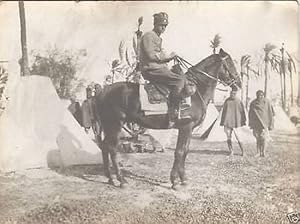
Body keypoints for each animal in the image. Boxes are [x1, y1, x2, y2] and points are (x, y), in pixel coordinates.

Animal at [96, 48, 241, 189]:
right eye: (230, 63)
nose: (238, 84)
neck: (195, 90)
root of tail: (103, 91)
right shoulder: (185, 127)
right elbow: (180, 152)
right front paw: (175, 181)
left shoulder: (189, 129)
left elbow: (185, 151)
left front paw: (183, 179)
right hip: (115, 125)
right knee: (112, 149)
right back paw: (121, 180)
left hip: (109, 126)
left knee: (104, 146)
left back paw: (110, 177)